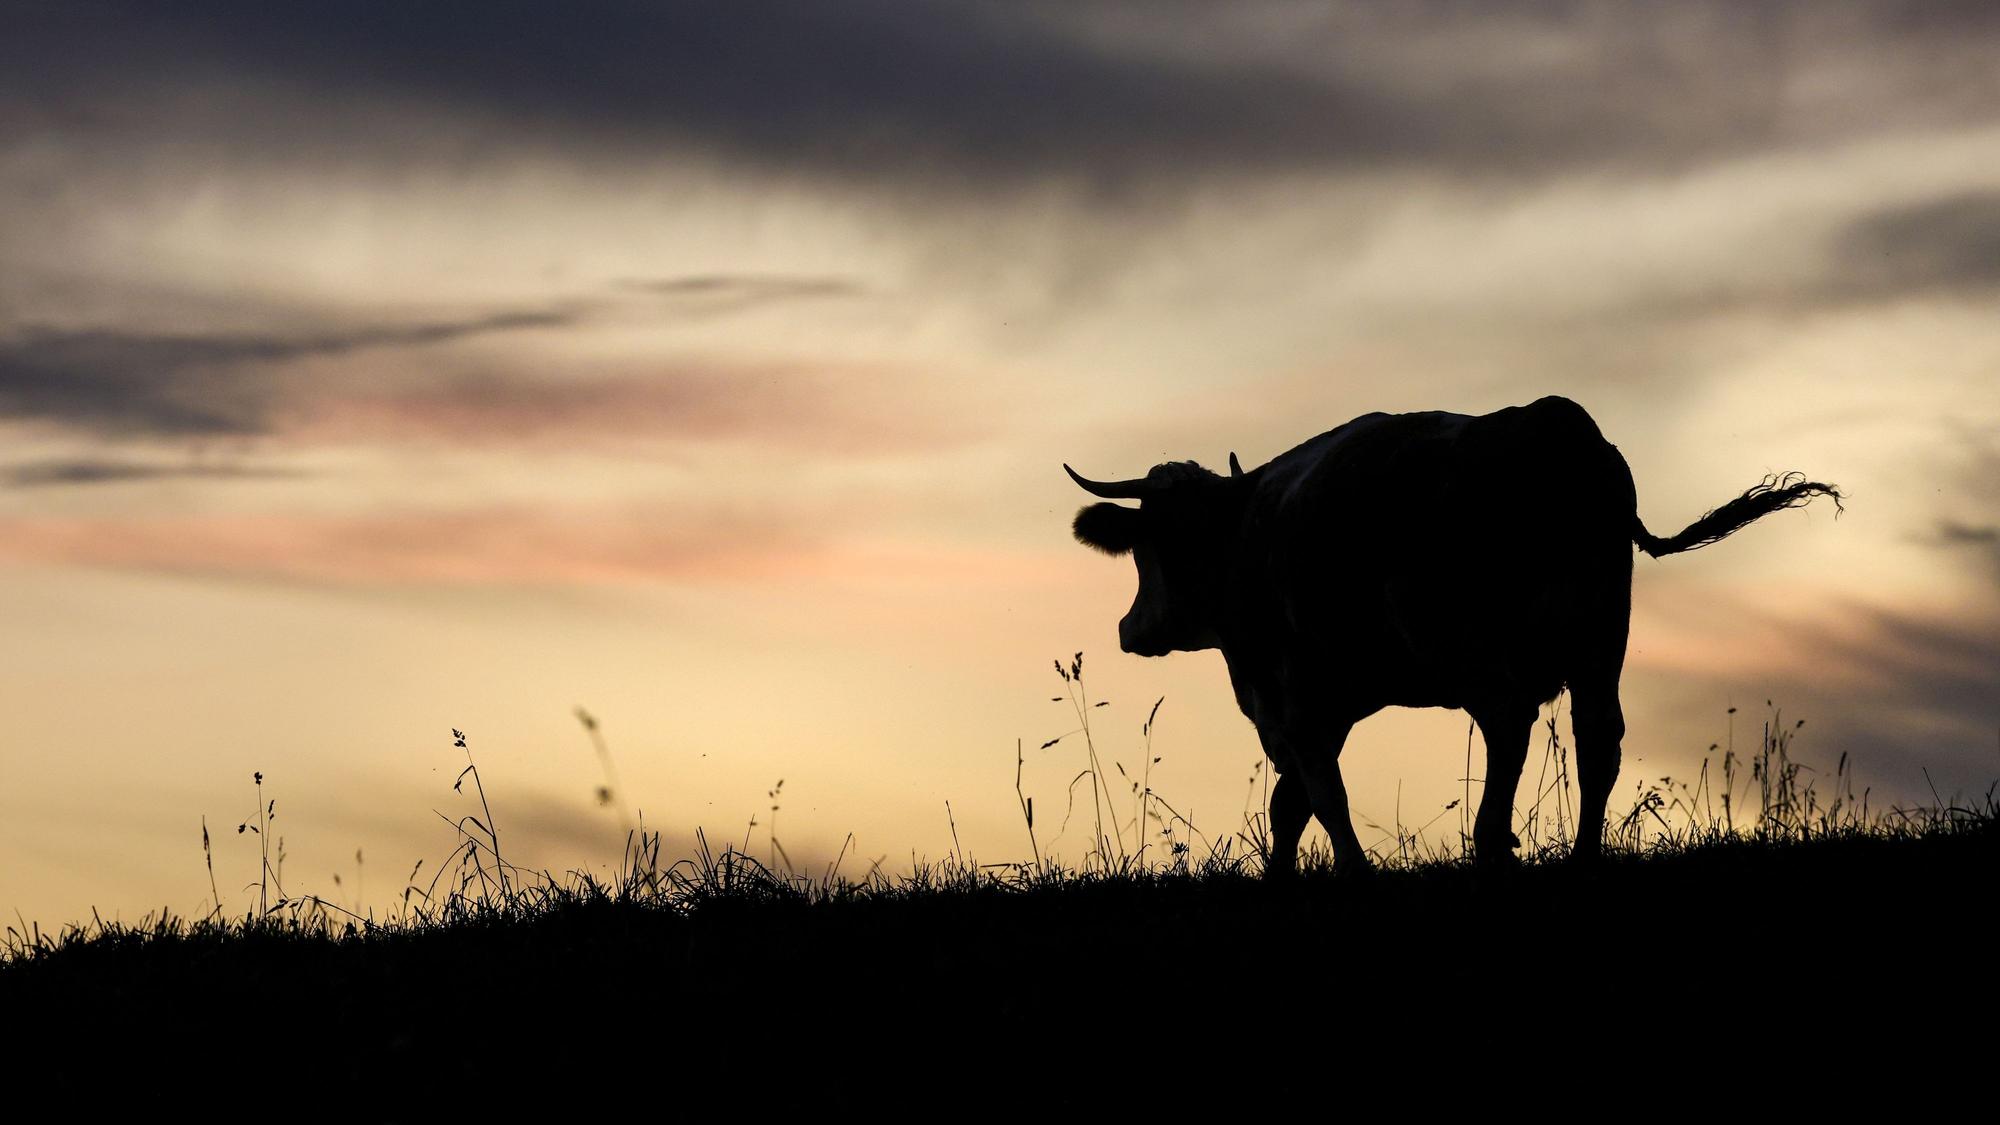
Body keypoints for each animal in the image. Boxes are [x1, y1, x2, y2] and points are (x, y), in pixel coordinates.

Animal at [1065, 395, 1840, 875]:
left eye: (1148, 544)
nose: (1130, 629)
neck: (1241, 534)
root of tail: (1559, 427)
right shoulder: (1330, 702)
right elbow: (1292, 803)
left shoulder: (1292, 696)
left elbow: (1318, 795)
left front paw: (1352, 871)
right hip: (1600, 642)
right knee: (1599, 737)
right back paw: (1582, 856)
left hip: (1470, 647)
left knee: (1508, 722)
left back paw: (1493, 844)